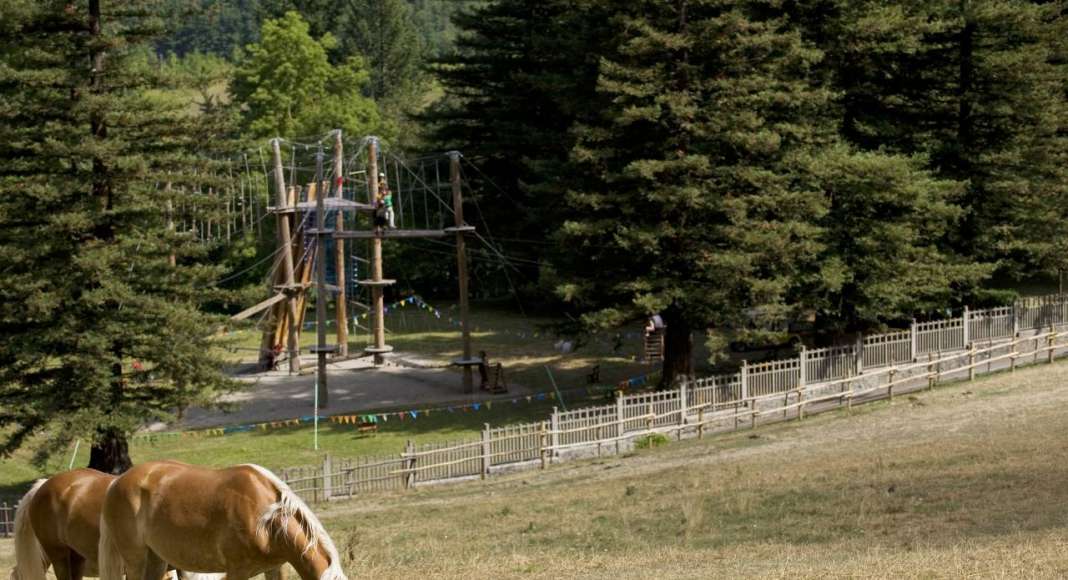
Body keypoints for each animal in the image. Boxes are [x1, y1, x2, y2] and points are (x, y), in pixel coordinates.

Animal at [98, 463, 348, 580]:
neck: (266, 519)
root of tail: (117, 482)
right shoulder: (237, 571)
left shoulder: (275, 568)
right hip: (135, 559)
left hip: (156, 560)